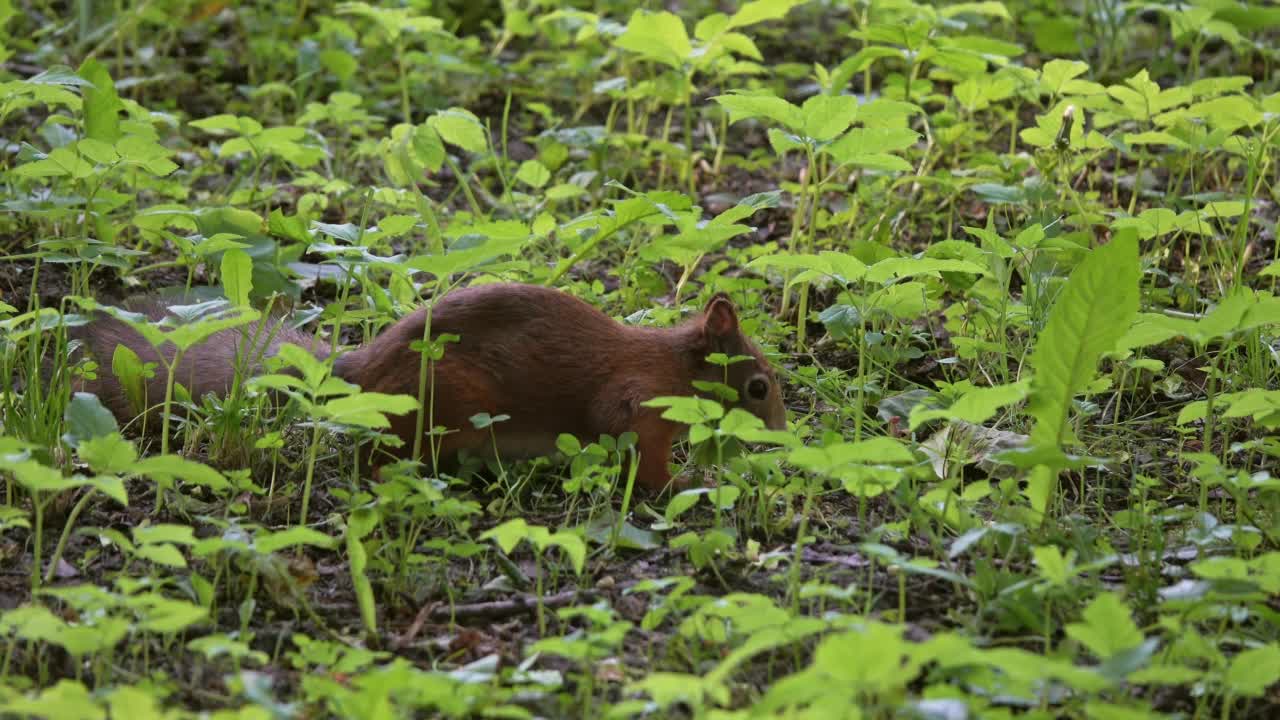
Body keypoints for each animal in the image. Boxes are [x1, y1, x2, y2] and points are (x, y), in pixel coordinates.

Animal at [72, 280, 788, 486]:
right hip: (450, 405)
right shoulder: (637, 402)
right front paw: (682, 485)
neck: (676, 365)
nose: (783, 438)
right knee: (379, 456)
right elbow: (642, 457)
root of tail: (358, 370)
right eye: (758, 387)